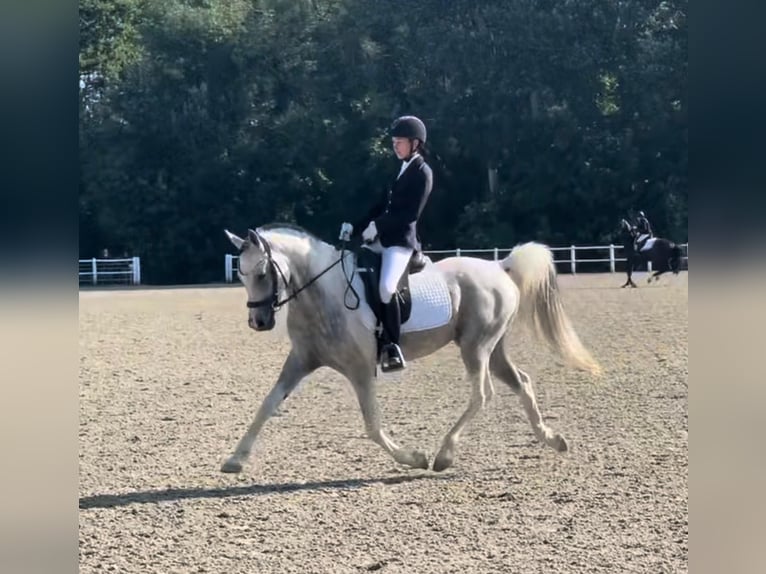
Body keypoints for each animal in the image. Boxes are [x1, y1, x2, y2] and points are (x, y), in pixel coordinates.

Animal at [221, 224, 601, 474]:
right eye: (240, 274)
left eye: (262, 272)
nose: (258, 321)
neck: (322, 293)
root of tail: (498, 265)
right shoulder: (300, 360)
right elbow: (268, 404)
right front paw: (235, 459)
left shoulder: (360, 369)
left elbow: (372, 426)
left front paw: (413, 458)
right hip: (493, 348)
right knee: (522, 382)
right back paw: (552, 438)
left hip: (476, 347)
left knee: (482, 394)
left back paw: (444, 456)